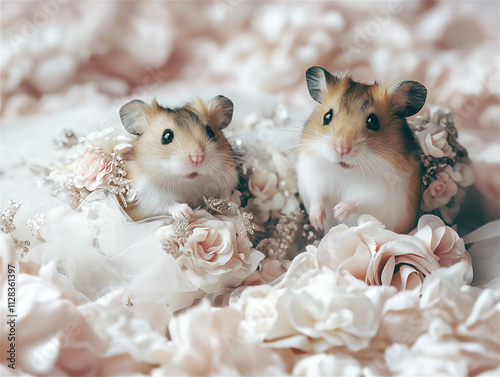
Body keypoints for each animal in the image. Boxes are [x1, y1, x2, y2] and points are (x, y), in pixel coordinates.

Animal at [296, 66, 426, 234]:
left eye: (373, 121)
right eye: (327, 116)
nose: (341, 148)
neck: (346, 172)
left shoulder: (386, 191)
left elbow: (364, 200)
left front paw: (339, 211)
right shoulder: (312, 173)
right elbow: (316, 195)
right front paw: (317, 222)